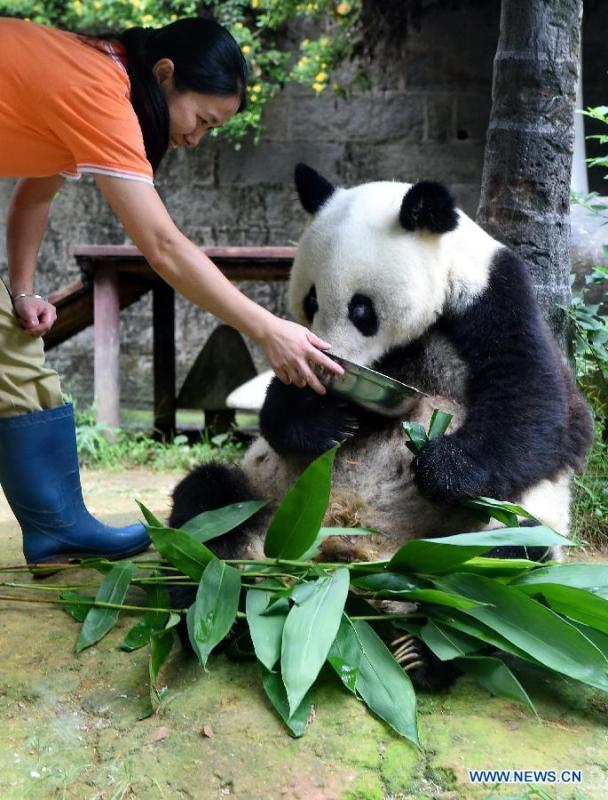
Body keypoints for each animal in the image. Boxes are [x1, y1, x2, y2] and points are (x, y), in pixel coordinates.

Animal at [168, 165, 593, 683]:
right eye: (310, 301)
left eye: (361, 309)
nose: (332, 360)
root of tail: (345, 565)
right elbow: (278, 405)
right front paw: (324, 421)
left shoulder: (495, 302)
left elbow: (539, 406)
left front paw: (440, 469)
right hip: (265, 496)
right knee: (206, 504)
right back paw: (212, 608)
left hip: (489, 535)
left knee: (504, 571)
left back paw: (424, 651)